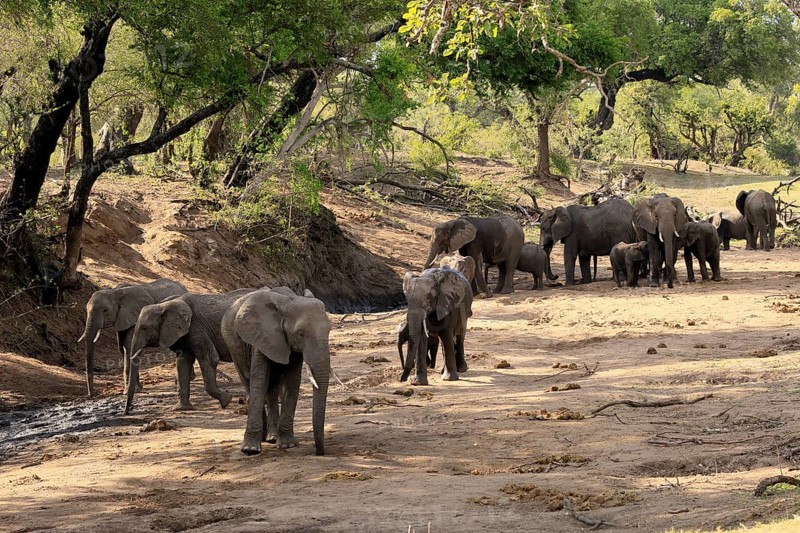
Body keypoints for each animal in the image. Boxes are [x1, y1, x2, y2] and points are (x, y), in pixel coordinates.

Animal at [126, 288, 256, 415]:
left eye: (144, 328)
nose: (128, 411)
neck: (164, 305)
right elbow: (183, 364)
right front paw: (181, 409)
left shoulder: (196, 328)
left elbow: (210, 359)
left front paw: (226, 400)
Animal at [222, 288, 331, 456]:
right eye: (300, 333)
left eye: (329, 330)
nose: (319, 452)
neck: (289, 301)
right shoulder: (261, 337)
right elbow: (259, 382)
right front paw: (250, 450)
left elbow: (293, 382)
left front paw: (287, 445)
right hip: (233, 347)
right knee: (249, 382)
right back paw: (264, 438)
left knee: (272, 389)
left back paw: (272, 437)